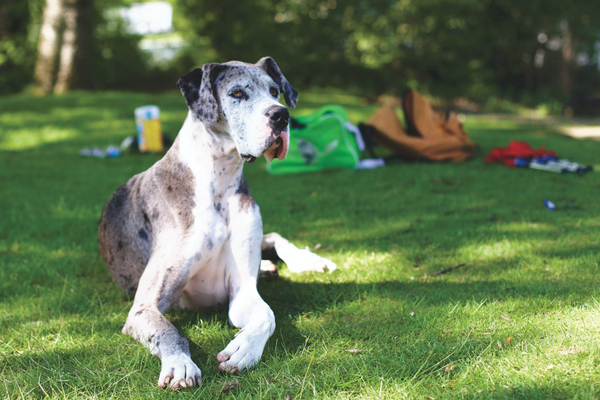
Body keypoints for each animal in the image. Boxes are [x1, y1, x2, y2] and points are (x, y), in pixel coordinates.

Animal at [96, 57, 336, 390]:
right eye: (236, 93)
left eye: (275, 91)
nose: (281, 115)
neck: (218, 182)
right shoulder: (144, 307)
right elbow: (169, 331)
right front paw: (180, 364)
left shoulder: (242, 291)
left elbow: (267, 315)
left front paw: (244, 349)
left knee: (274, 236)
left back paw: (305, 260)